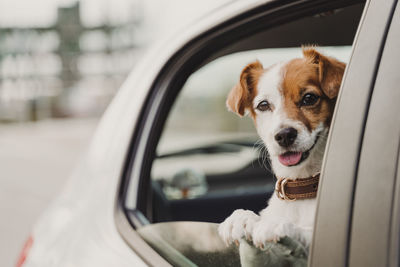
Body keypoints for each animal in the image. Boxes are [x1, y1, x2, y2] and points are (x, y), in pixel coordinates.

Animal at [217, 47, 346, 251]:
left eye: (309, 98)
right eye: (263, 105)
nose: (284, 135)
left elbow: (307, 232)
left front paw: (277, 225)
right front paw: (241, 218)